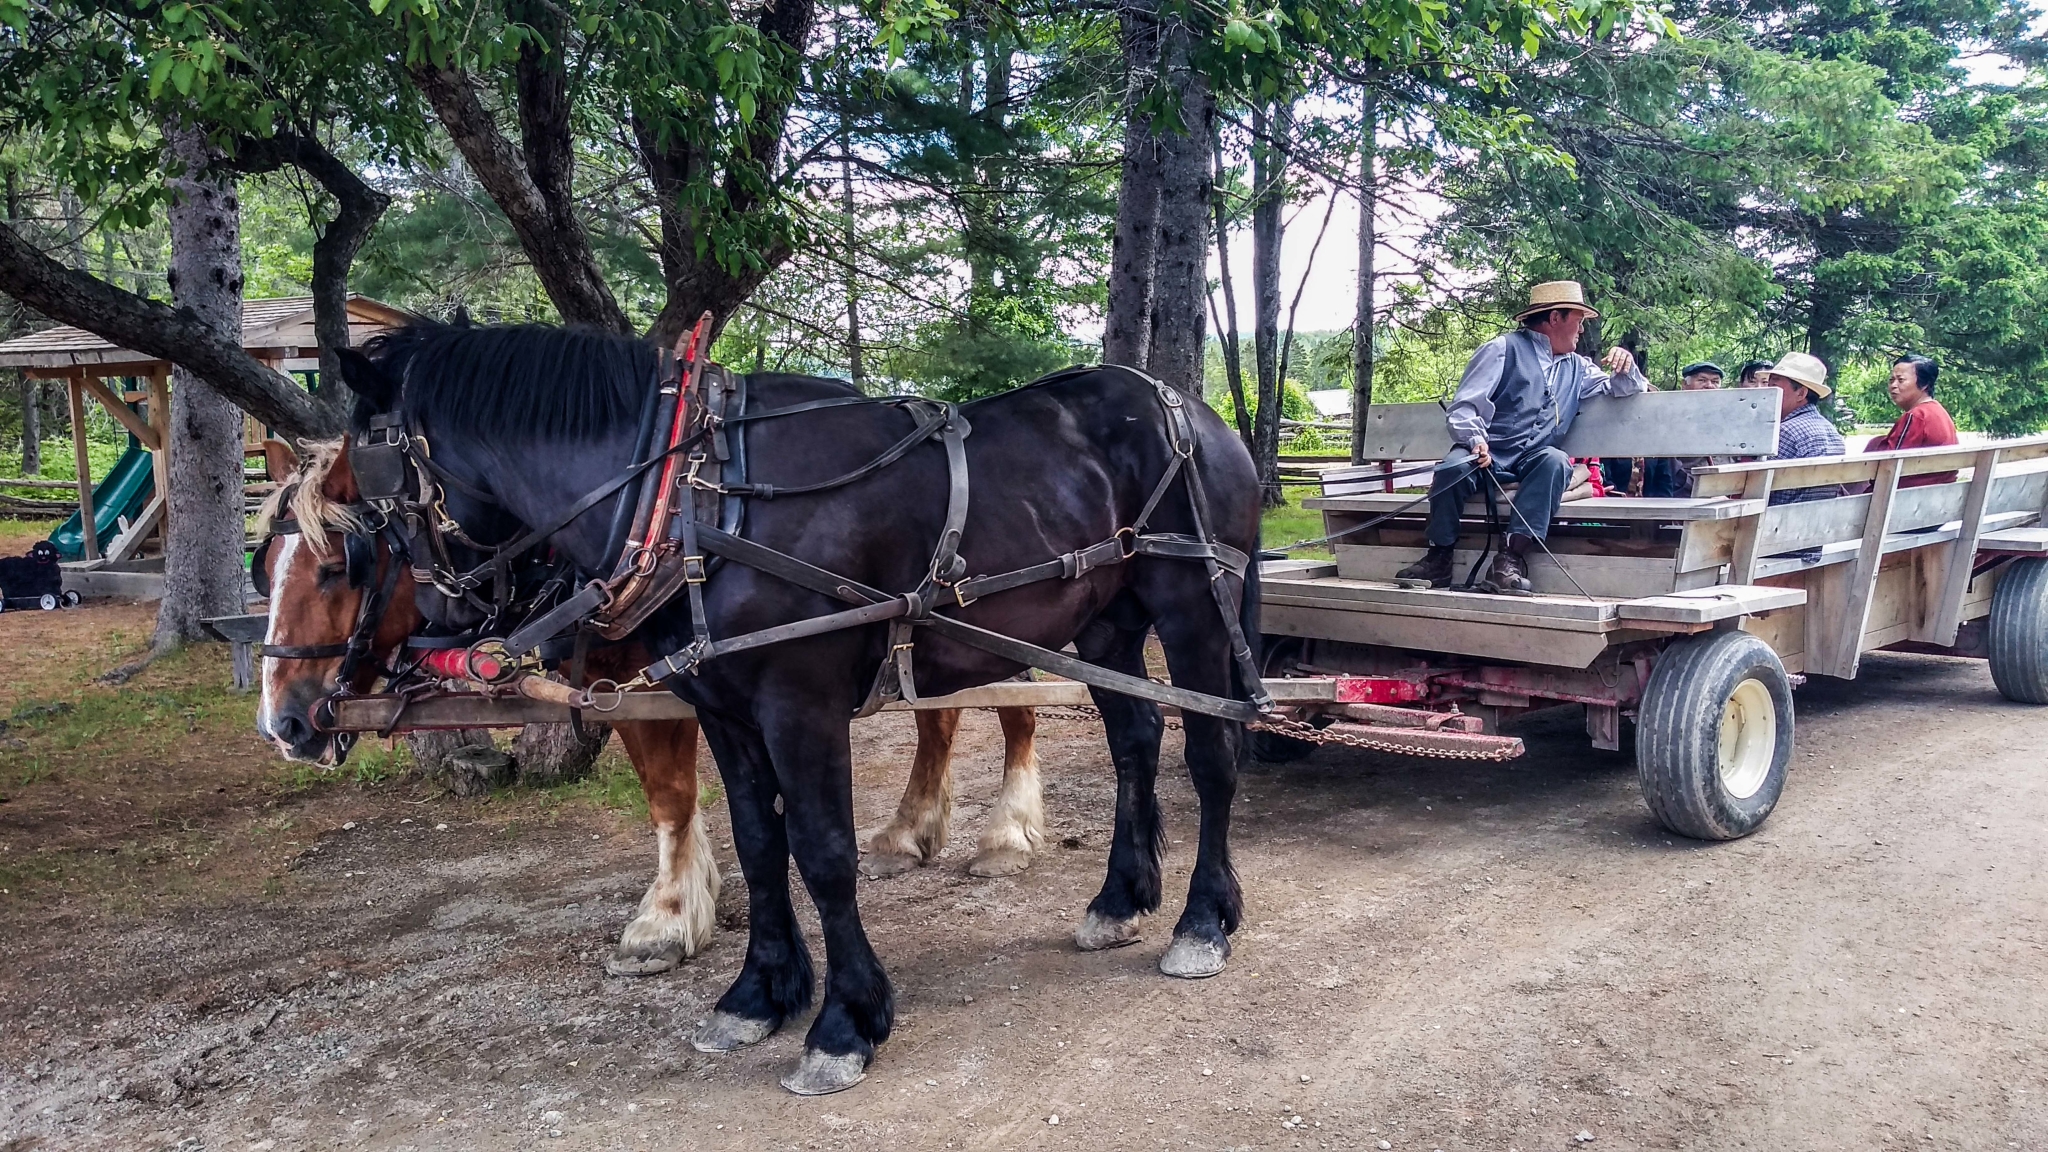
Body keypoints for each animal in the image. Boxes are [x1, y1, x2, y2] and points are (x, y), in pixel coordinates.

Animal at [256, 438, 1048, 967]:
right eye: (265, 567)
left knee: (1017, 711)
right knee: (942, 714)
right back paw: (909, 829)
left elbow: (672, 791)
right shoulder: (637, 686)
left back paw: (1006, 834)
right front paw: (688, 899)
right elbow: (672, 797)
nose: (282, 723)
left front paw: (667, 918)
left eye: (336, 568)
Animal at [339, 319, 1261, 1082]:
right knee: (1136, 739)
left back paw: (1202, 922)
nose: (436, 632)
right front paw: (759, 994)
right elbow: (757, 844)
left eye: (368, 481)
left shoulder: (799, 702)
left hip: (1192, 608)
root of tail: (1195, 412)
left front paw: (845, 1024)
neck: (696, 497)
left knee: (1212, 754)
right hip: (1106, 623)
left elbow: (822, 852)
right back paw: (1119, 899)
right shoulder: (724, 710)